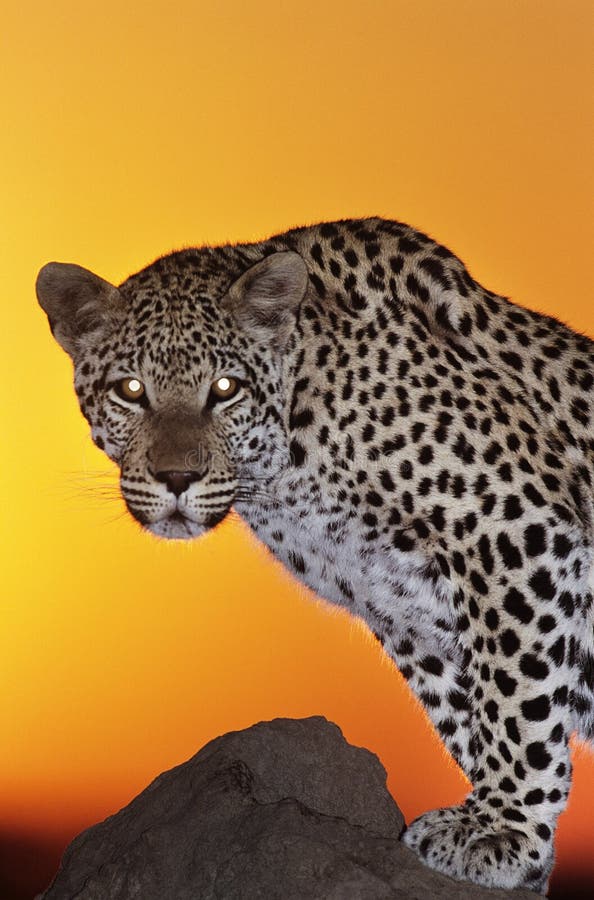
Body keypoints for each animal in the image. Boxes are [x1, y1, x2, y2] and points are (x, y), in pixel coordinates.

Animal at [36, 217, 593, 893]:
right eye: (130, 390)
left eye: (225, 389)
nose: (176, 478)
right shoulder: (399, 602)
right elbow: (464, 710)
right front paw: (519, 851)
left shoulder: (513, 528)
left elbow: (514, 700)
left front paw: (502, 831)